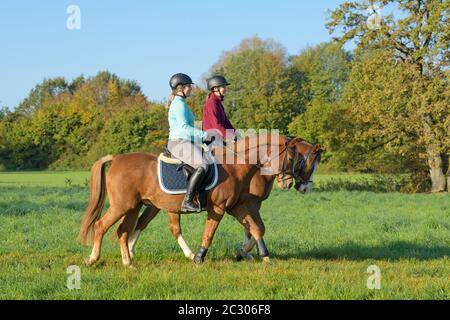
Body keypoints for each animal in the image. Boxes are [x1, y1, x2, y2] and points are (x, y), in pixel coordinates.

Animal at [79, 135, 322, 268]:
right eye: (294, 158)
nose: (294, 185)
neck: (237, 164)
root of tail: (117, 158)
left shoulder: (240, 206)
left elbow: (256, 228)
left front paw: (262, 256)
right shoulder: (222, 208)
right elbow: (210, 233)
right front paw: (199, 257)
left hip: (135, 206)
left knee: (125, 230)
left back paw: (128, 261)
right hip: (123, 206)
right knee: (102, 225)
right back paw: (93, 258)